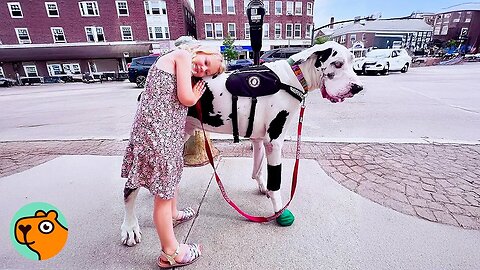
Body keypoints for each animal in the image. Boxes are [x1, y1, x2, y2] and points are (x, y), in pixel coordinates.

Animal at [122, 41, 362, 246]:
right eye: (337, 64)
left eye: (352, 61)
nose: (358, 87)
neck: (292, 78)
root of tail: (143, 92)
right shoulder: (275, 140)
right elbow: (276, 180)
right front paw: (279, 210)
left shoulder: (260, 139)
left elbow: (258, 168)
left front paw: (263, 187)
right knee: (129, 189)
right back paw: (130, 228)